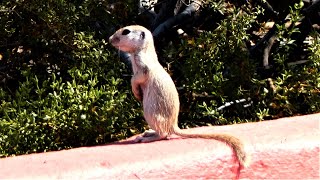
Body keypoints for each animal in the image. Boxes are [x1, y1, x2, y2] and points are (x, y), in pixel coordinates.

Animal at [109, 25, 249, 169]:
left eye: (126, 31)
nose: (110, 39)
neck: (143, 50)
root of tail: (174, 126)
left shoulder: (142, 67)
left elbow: (135, 79)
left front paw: (136, 92)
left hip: (151, 115)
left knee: (164, 134)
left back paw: (145, 138)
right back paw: (148, 132)